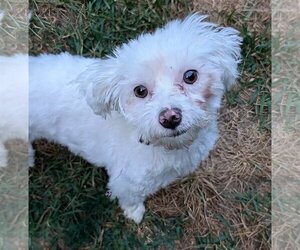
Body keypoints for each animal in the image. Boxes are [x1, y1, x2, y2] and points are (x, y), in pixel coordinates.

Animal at [29, 14, 243, 223]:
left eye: (190, 76)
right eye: (140, 91)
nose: (170, 118)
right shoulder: (126, 181)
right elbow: (130, 198)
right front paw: (134, 212)